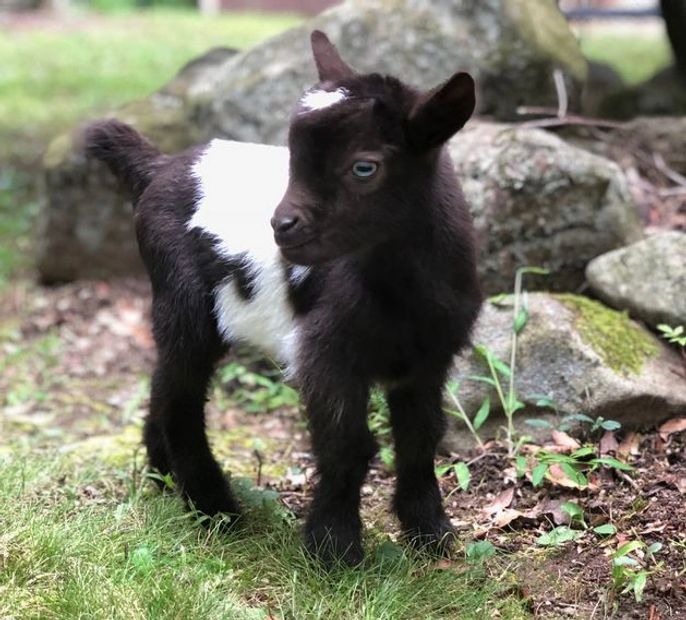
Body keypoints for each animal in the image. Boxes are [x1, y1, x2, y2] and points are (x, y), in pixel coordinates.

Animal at [84, 32, 484, 568]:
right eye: (293, 156)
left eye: (364, 167)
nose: (281, 226)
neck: (400, 292)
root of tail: (161, 166)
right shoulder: (326, 350)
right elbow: (347, 445)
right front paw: (334, 550)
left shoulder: (429, 358)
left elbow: (421, 438)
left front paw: (430, 533)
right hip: (181, 294)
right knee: (182, 395)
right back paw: (215, 511)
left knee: (163, 381)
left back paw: (164, 480)